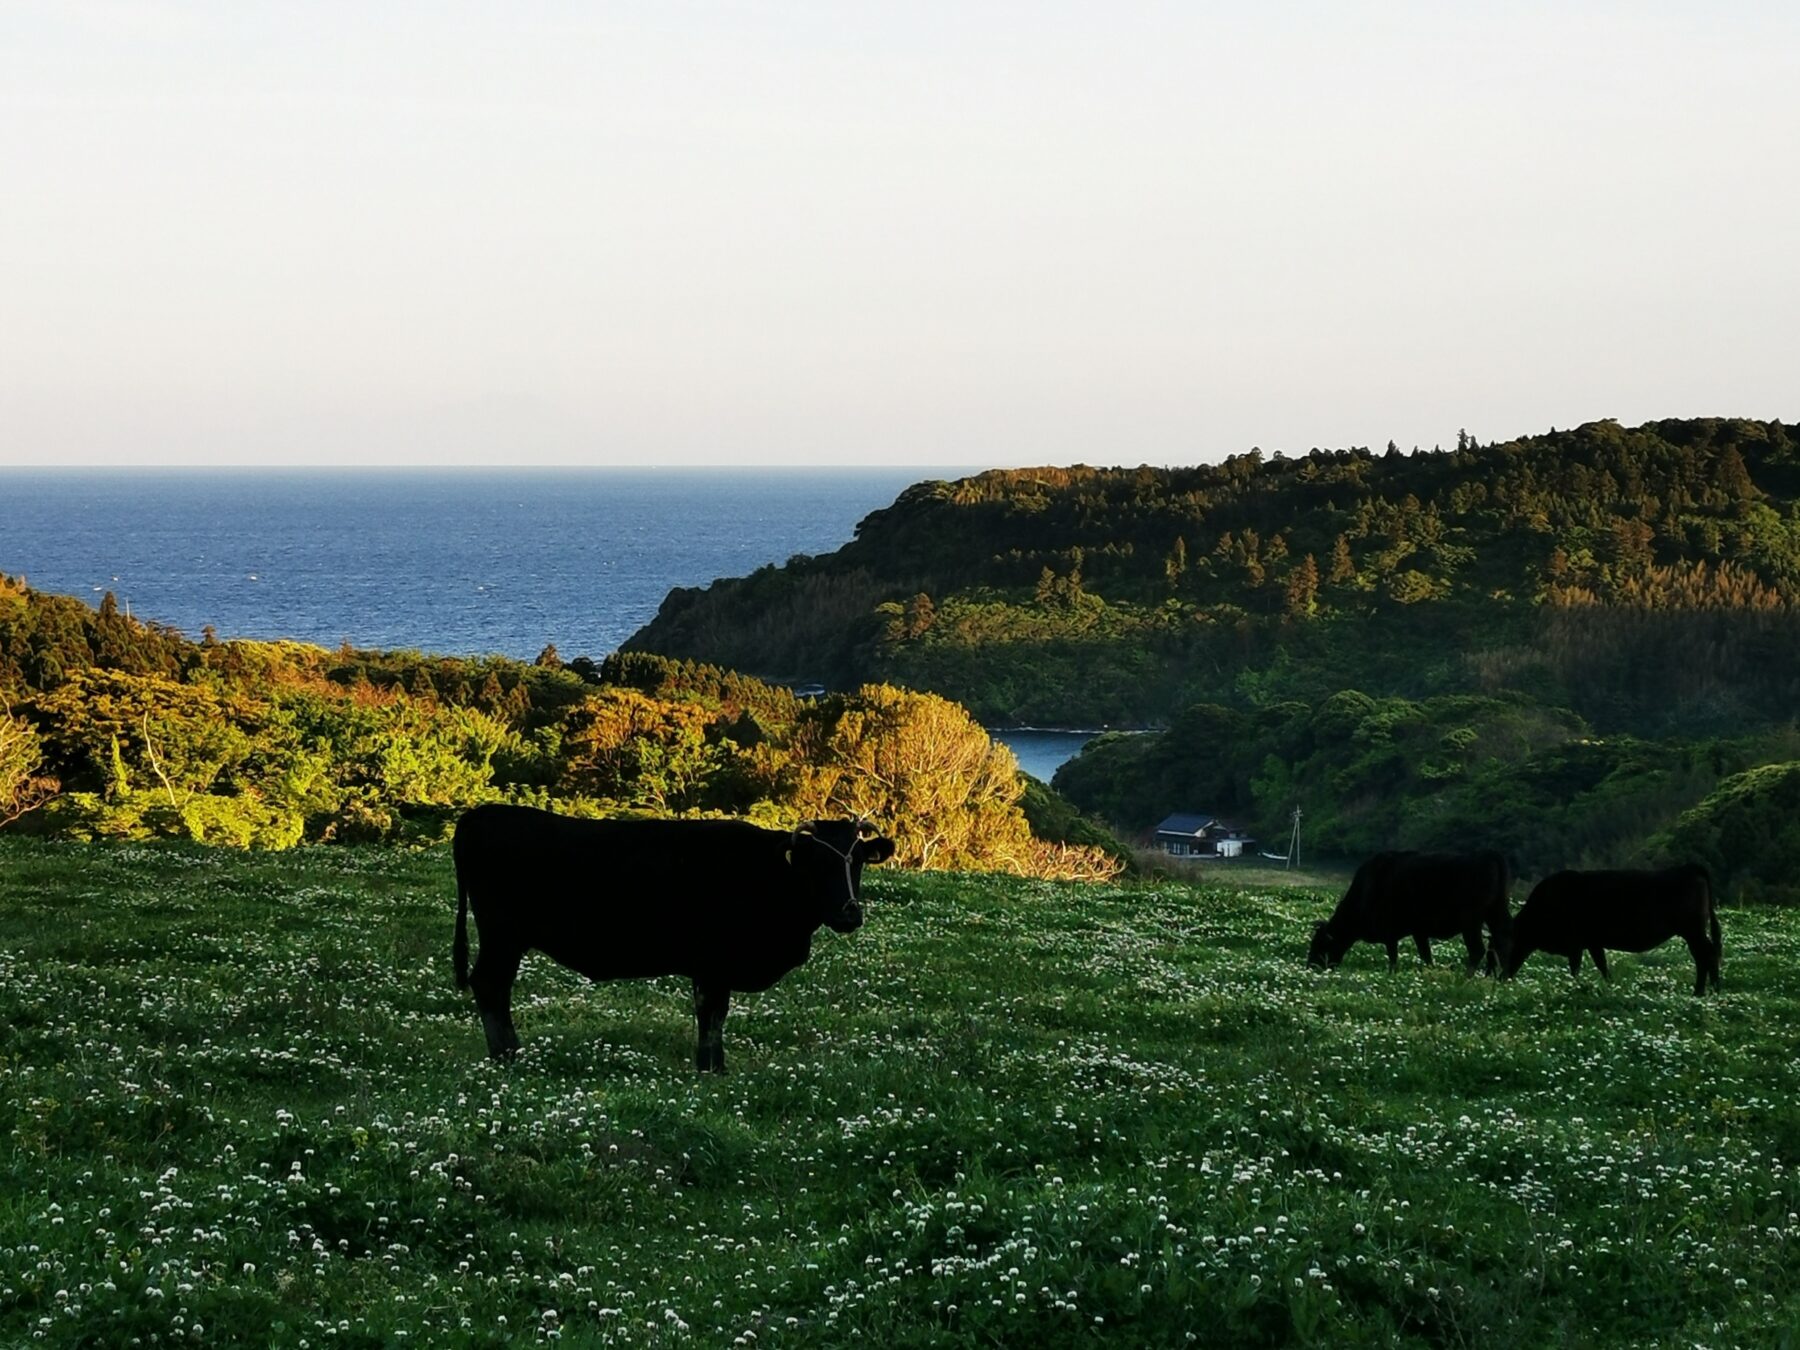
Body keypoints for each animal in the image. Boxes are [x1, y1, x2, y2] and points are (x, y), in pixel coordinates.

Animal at [453, 810, 896, 1072]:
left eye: (857, 860)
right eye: (815, 861)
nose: (848, 914)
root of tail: (480, 813)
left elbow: (714, 1016)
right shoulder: (713, 963)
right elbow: (712, 1015)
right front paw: (711, 1067)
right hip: (502, 934)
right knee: (490, 985)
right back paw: (508, 1055)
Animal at [1310, 856, 1519, 972]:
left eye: (1319, 945)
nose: (1310, 966)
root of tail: (1490, 855)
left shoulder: (1390, 932)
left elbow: (1393, 957)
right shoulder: (1419, 931)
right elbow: (1426, 955)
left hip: (1471, 921)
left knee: (1477, 950)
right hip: (1497, 913)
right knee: (1504, 942)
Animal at [1497, 860, 1720, 1000]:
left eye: (1507, 945)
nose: (1500, 978)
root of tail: (1689, 867)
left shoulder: (1575, 943)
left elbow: (1575, 967)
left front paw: (1575, 986)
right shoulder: (1593, 942)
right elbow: (1602, 965)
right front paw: (1611, 986)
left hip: (1692, 930)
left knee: (1705, 955)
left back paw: (1701, 991)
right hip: (1694, 931)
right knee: (1709, 954)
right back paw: (1712, 990)